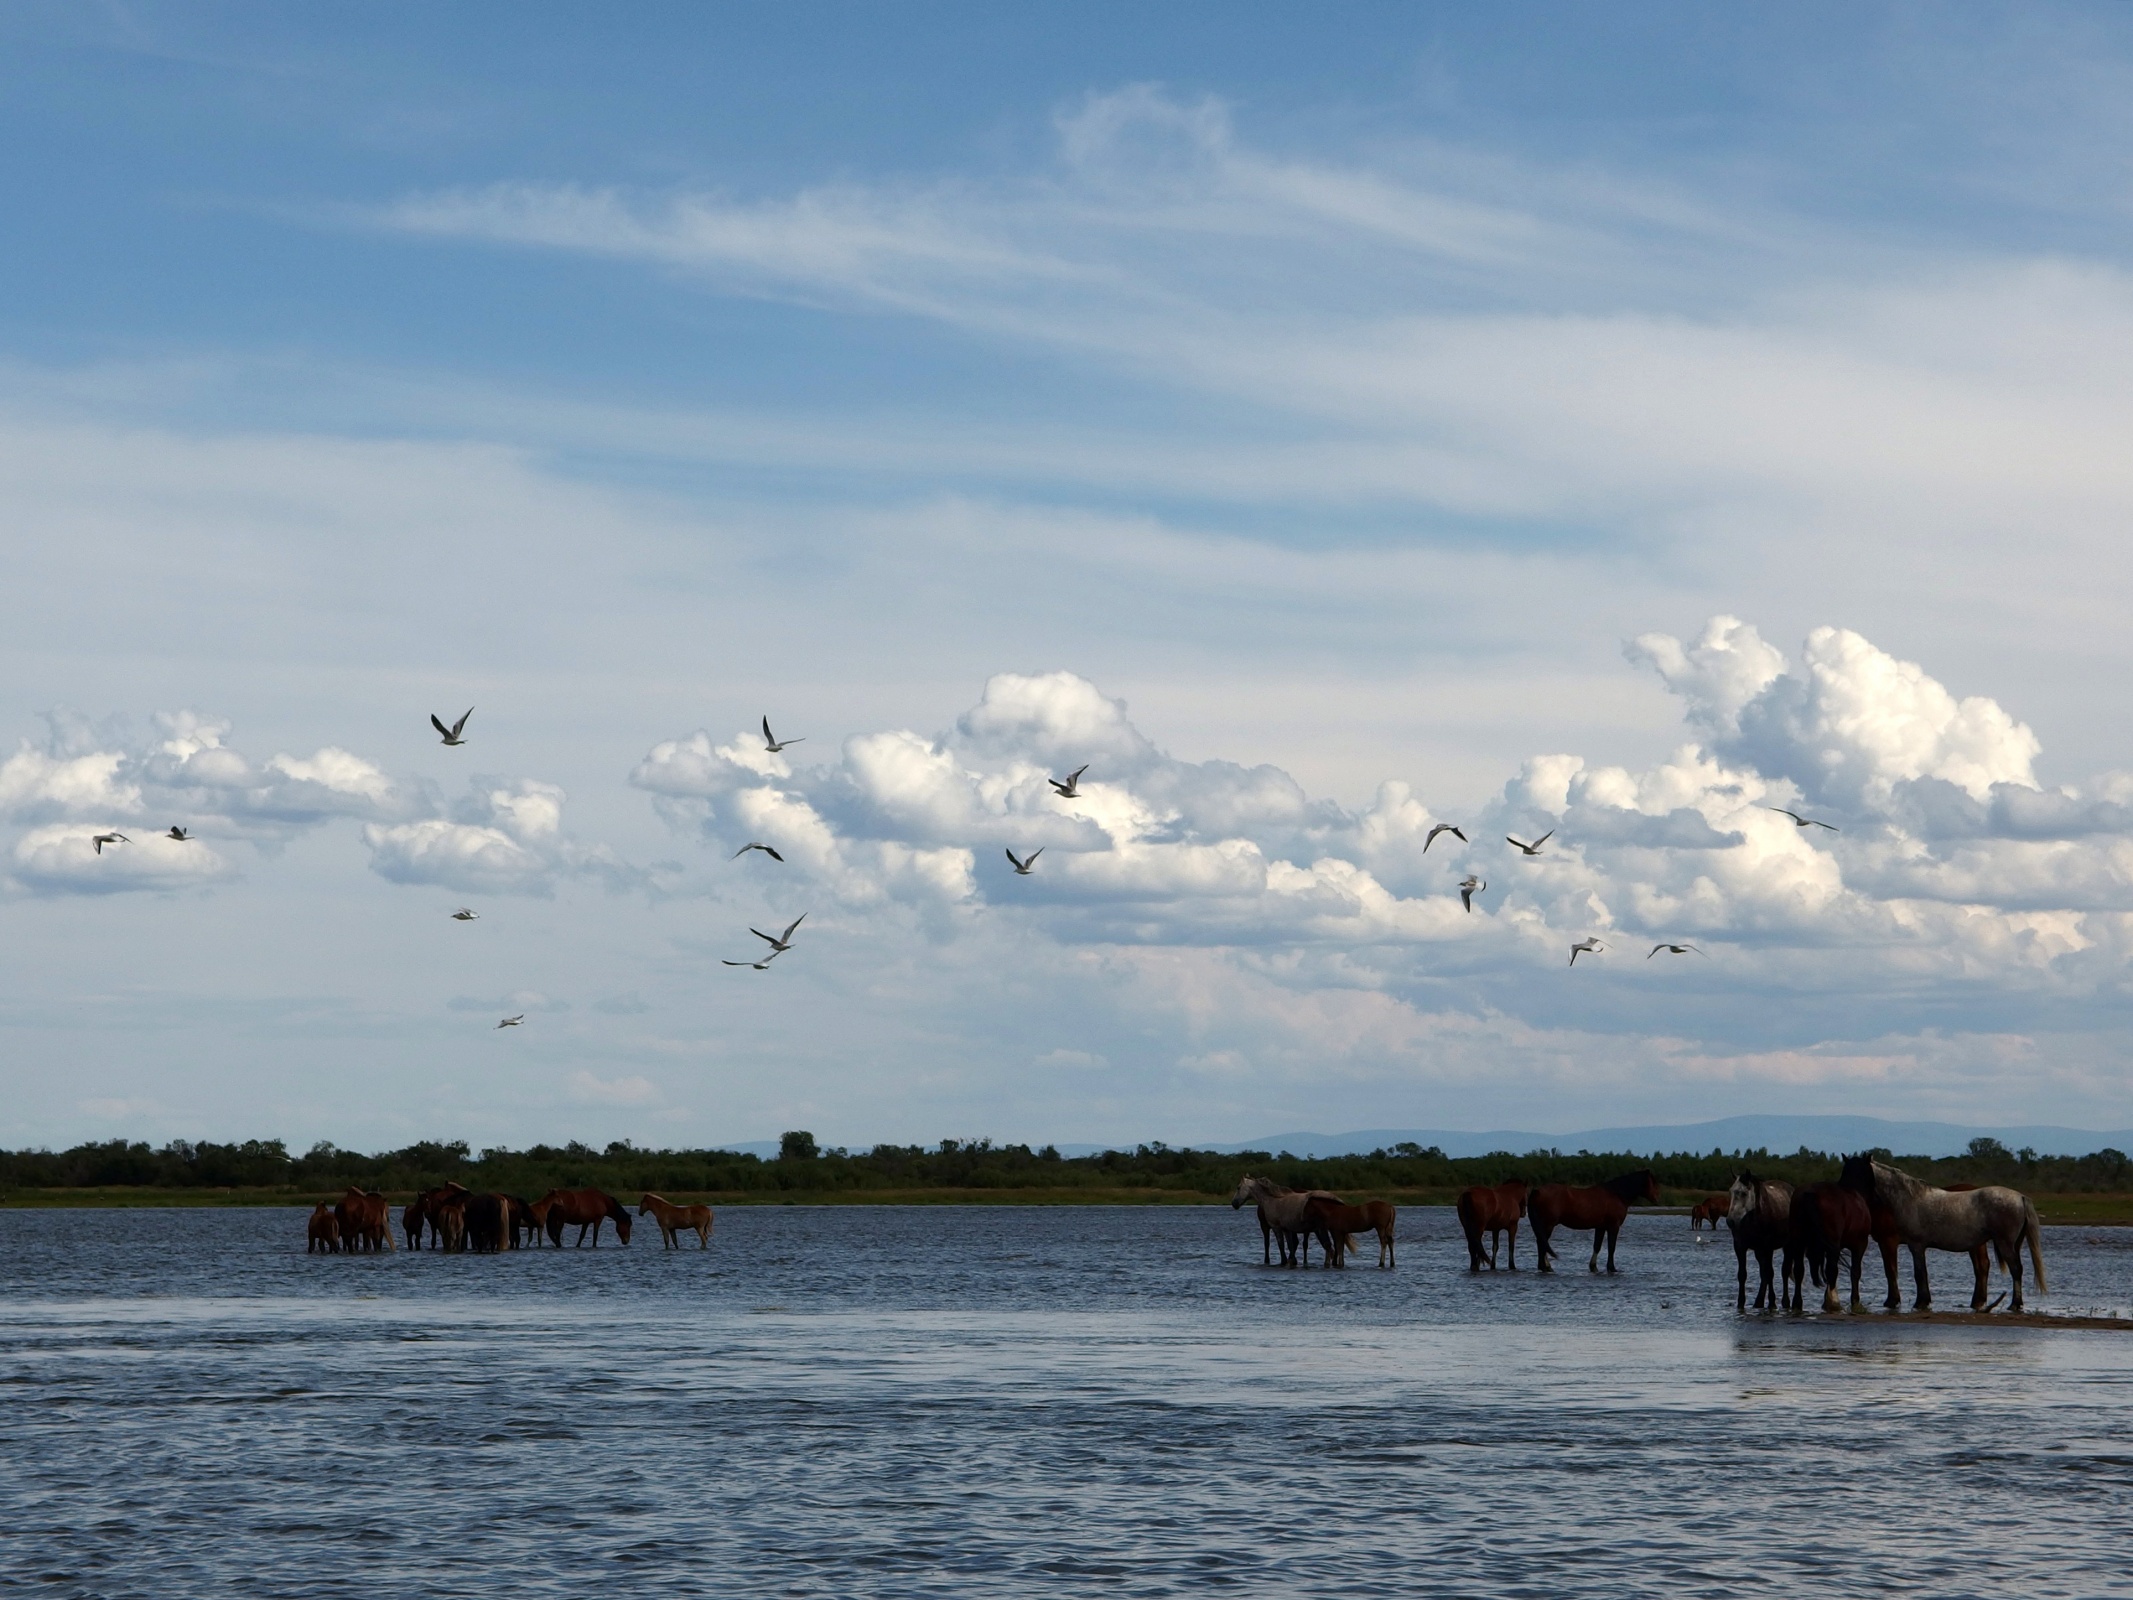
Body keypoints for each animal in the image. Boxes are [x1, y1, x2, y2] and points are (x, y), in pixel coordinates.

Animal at [1527, 1169, 1655, 1280]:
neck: (1616, 1194)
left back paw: (1545, 1266)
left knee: (1542, 1242)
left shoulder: (1601, 1227)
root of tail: (1537, 1191)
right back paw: (1545, 1267)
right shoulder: (1613, 1226)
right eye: (1651, 1182)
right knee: (1542, 1242)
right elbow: (1611, 1247)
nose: (1655, 1198)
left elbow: (1597, 1246)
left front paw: (1593, 1267)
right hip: (1548, 1224)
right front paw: (1612, 1268)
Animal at [1723, 1169, 1791, 1305]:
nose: (1730, 1221)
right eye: (1730, 1191)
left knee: (1784, 1271)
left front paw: (1772, 1302)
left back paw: (1785, 1301)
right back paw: (1758, 1302)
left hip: (1787, 1245)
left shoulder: (1768, 1247)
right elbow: (1742, 1274)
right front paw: (1740, 1302)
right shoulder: (1739, 1246)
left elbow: (1770, 1273)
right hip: (1759, 1251)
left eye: (1744, 1193)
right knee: (1763, 1273)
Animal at [1859, 1169, 2039, 1314]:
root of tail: (2020, 1197)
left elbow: (1891, 1271)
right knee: (1983, 1267)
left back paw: (2011, 1304)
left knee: (2005, 1268)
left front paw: (1893, 1301)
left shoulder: (1889, 1242)